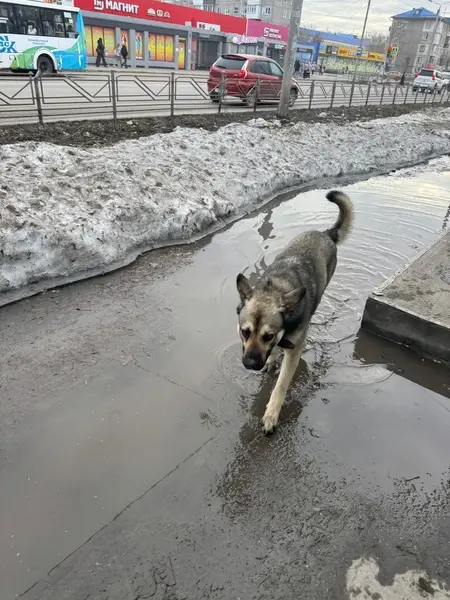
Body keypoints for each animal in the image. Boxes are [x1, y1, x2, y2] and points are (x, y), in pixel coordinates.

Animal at [236, 190, 353, 434]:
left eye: (268, 335)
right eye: (245, 332)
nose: (250, 364)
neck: (275, 289)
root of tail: (325, 233)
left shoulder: (292, 351)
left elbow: (280, 385)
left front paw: (271, 414)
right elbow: (273, 354)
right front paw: (271, 360)